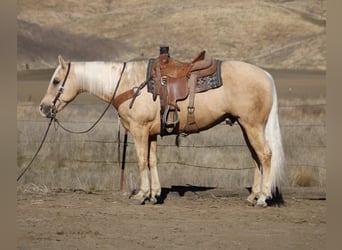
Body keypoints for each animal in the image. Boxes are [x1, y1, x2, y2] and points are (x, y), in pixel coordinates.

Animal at [39, 55, 286, 207]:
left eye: (56, 81)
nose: (43, 108)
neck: (130, 84)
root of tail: (266, 75)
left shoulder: (139, 130)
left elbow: (141, 161)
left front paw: (141, 195)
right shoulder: (151, 133)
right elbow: (152, 161)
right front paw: (154, 194)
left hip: (252, 126)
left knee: (265, 155)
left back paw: (263, 197)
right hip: (246, 127)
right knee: (255, 158)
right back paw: (253, 196)